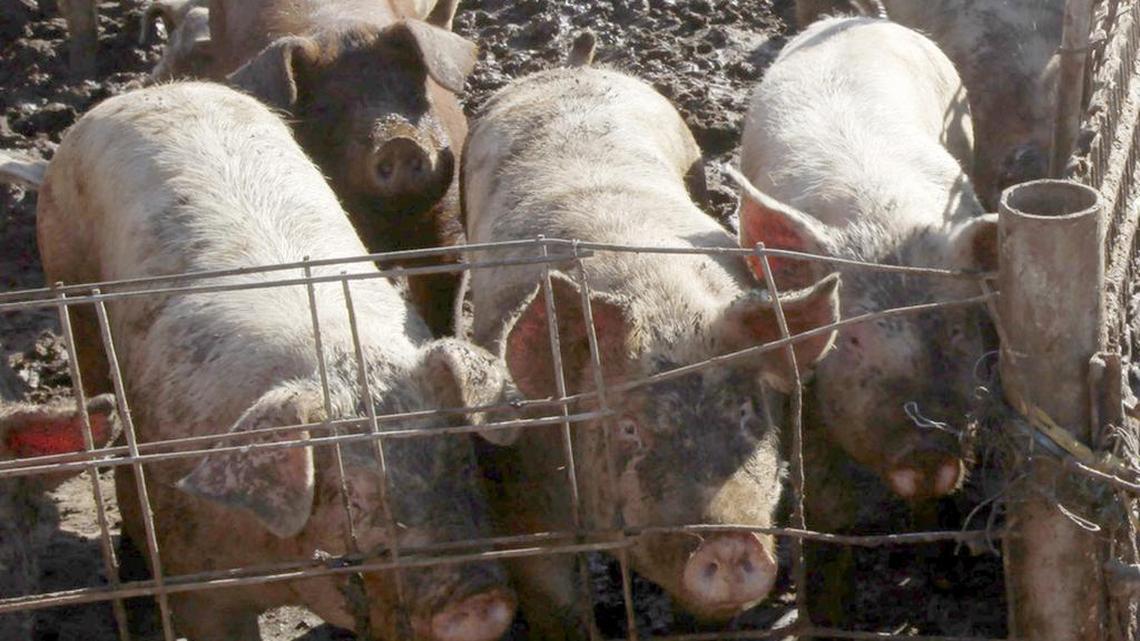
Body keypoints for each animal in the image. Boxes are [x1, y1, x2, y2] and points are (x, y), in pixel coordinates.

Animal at [36, 81, 520, 641]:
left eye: (460, 458)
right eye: (349, 498)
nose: (480, 604)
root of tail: (156, 90)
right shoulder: (195, 571)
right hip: (68, 279)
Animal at [462, 65, 842, 638]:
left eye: (748, 413)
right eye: (628, 428)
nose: (730, 544)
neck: (666, 310)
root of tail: (573, 67)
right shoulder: (518, 486)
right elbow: (555, 598)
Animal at [731, 16, 998, 625]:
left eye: (956, 326)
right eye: (848, 339)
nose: (925, 450)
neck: (879, 217)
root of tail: (864, 19)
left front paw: (945, 579)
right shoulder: (800, 384)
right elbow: (826, 502)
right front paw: (827, 618)